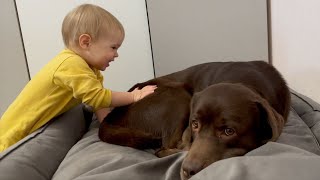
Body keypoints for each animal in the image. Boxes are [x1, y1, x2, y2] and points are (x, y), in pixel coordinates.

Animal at [99, 61, 292, 179]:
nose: (188, 170)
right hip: (177, 95)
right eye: (195, 124)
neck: (246, 82)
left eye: (229, 131)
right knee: (164, 148)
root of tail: (111, 116)